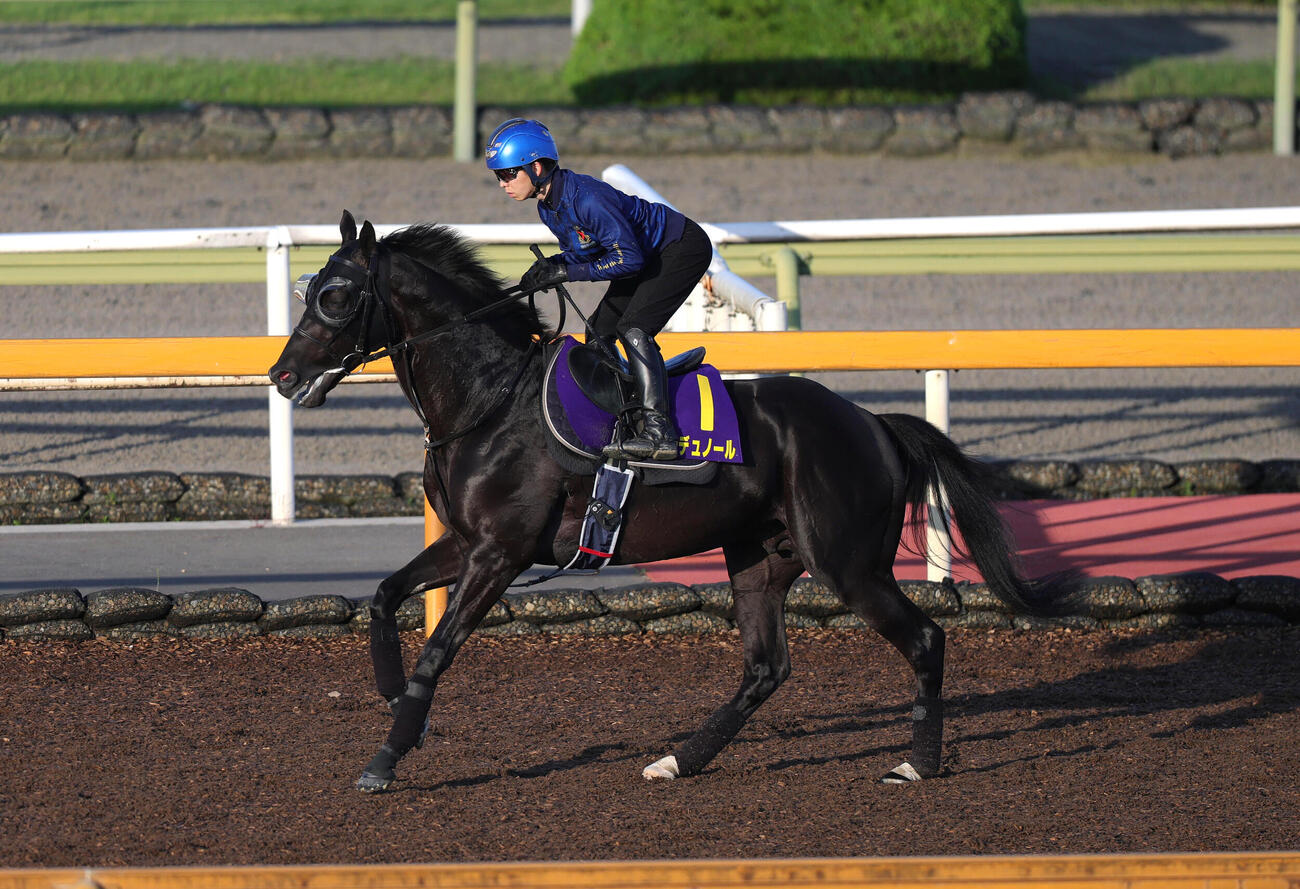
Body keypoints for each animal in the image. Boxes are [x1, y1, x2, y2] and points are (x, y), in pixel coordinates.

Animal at [269, 210, 1074, 793]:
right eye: (309, 288)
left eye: (336, 296)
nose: (281, 375)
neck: (490, 399)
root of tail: (873, 423)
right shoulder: (467, 541)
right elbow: (382, 595)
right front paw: (390, 697)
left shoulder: (500, 553)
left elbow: (438, 651)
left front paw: (388, 755)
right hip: (760, 557)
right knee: (766, 667)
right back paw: (679, 760)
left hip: (848, 564)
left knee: (924, 639)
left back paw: (916, 764)